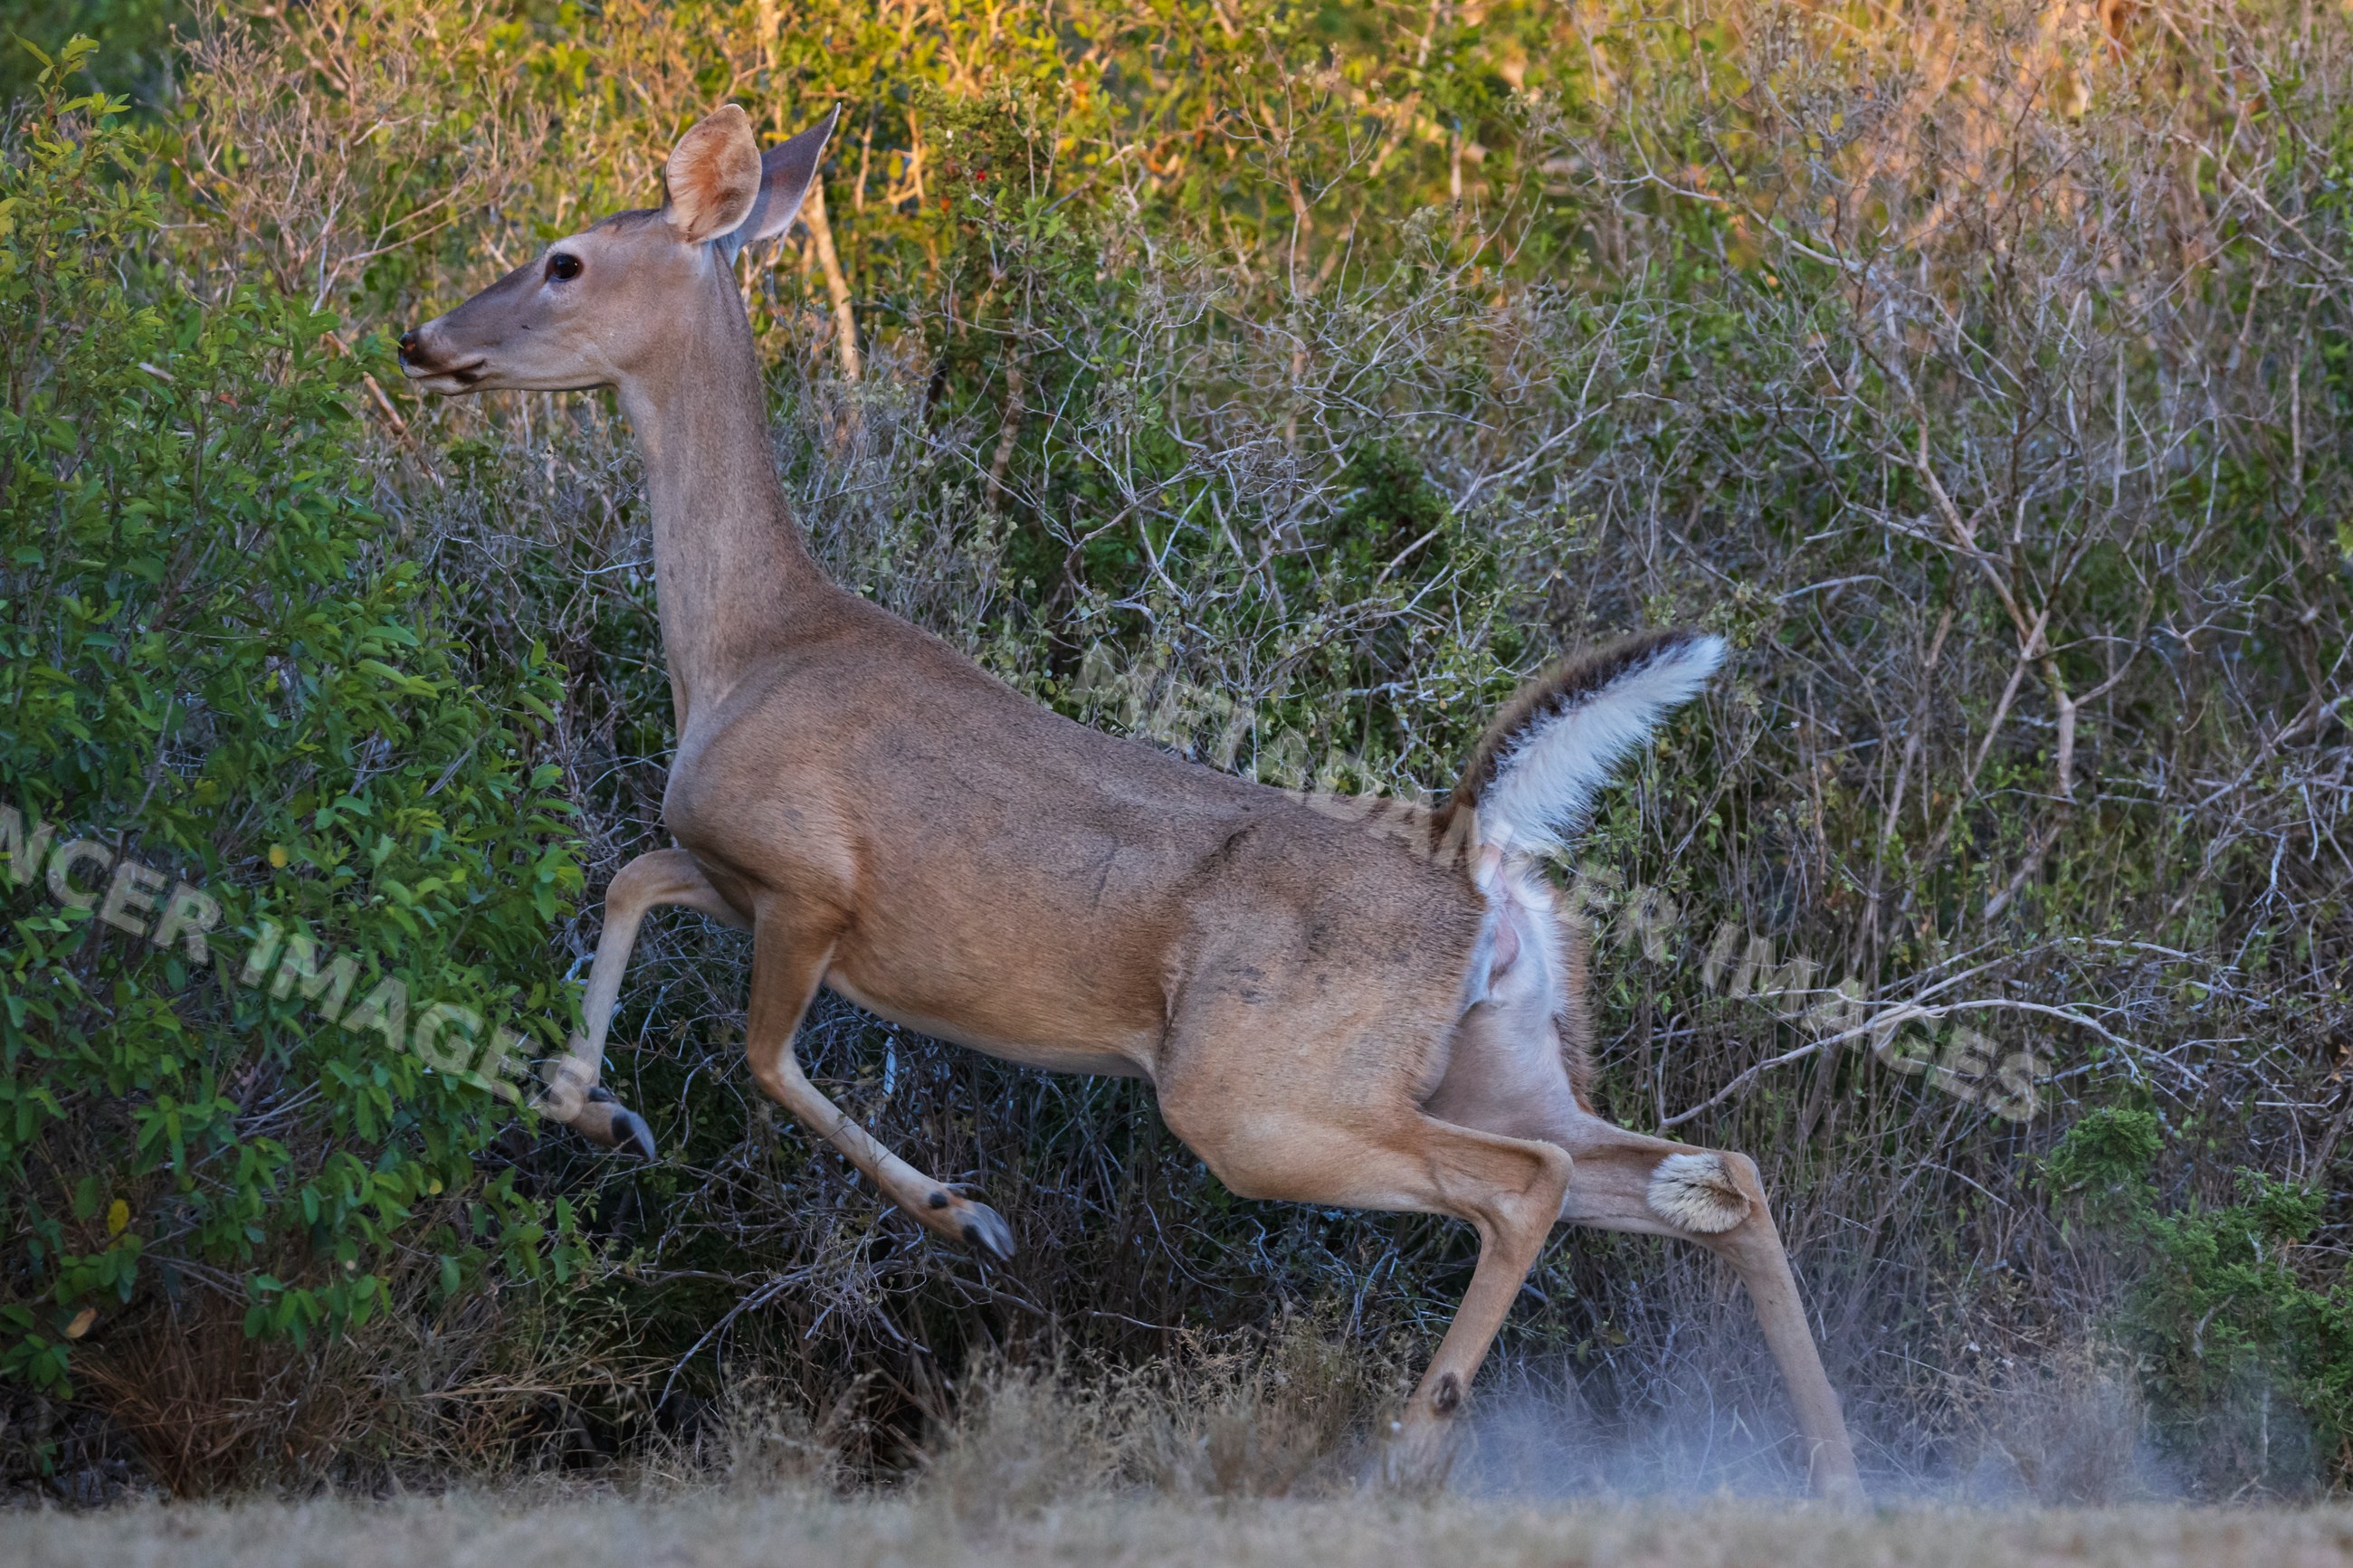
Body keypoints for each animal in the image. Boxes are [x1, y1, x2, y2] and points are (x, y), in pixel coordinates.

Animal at [398, 102, 1864, 1498]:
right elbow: (631, 881)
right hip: (1497, 1064)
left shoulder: (809, 886)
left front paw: (965, 1215)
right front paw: (603, 1110)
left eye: (563, 260)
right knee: (1712, 1177)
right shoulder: (734, 872)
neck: (749, 645)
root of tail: (1474, 858)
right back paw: (1829, 1462)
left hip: (1254, 1097)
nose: (421, 338)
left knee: (1530, 1188)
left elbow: (760, 1052)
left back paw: (1409, 1449)